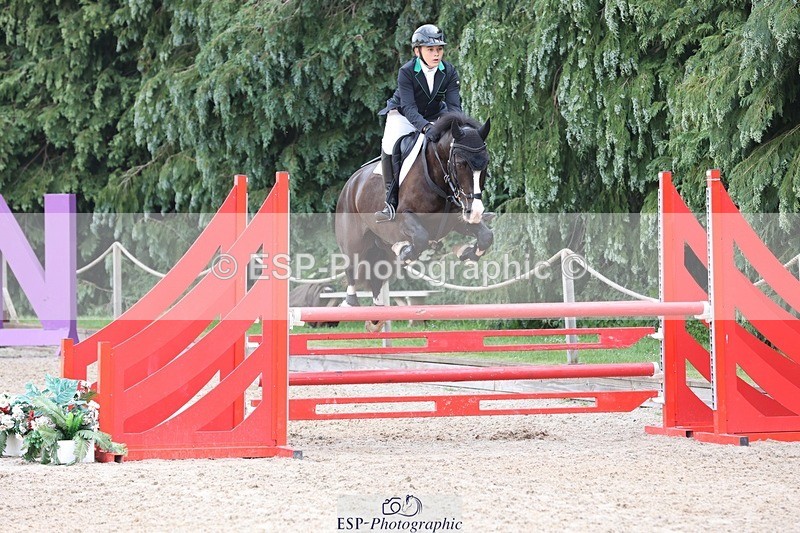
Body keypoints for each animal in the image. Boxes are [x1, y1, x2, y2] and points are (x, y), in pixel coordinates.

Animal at [334, 111, 493, 330]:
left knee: (377, 275)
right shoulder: (405, 217)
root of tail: (351, 182)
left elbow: (486, 236)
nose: (476, 211)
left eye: (486, 164)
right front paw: (405, 251)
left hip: (379, 245)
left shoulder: (458, 219)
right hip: (353, 238)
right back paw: (350, 303)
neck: (438, 177)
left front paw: (467, 253)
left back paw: (376, 315)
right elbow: (420, 237)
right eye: (460, 164)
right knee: (351, 264)